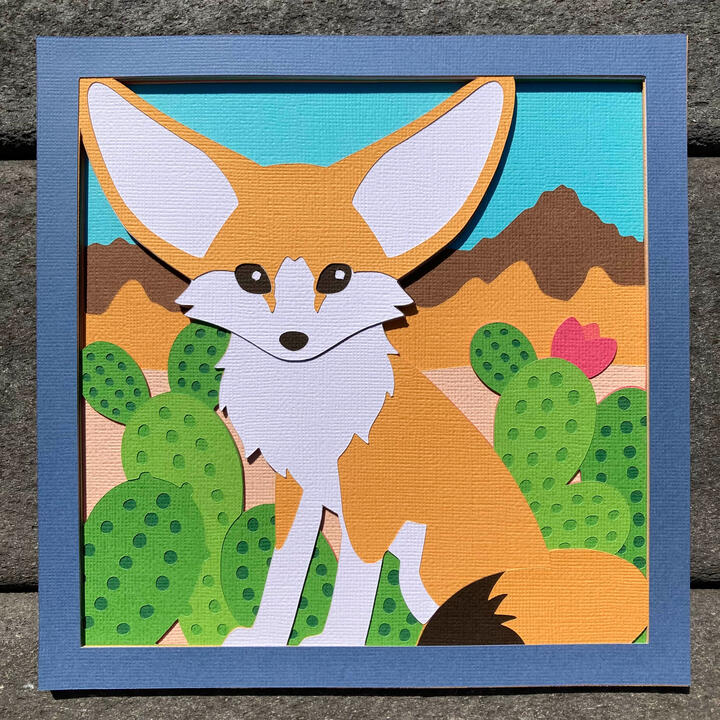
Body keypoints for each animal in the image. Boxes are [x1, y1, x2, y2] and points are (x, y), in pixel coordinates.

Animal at [80, 76, 648, 647]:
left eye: (337, 277)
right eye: (251, 277)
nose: (293, 339)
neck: (307, 400)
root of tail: (542, 565)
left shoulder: (371, 504)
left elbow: (354, 580)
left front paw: (335, 640)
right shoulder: (298, 488)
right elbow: (285, 569)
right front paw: (265, 636)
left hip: (428, 567)